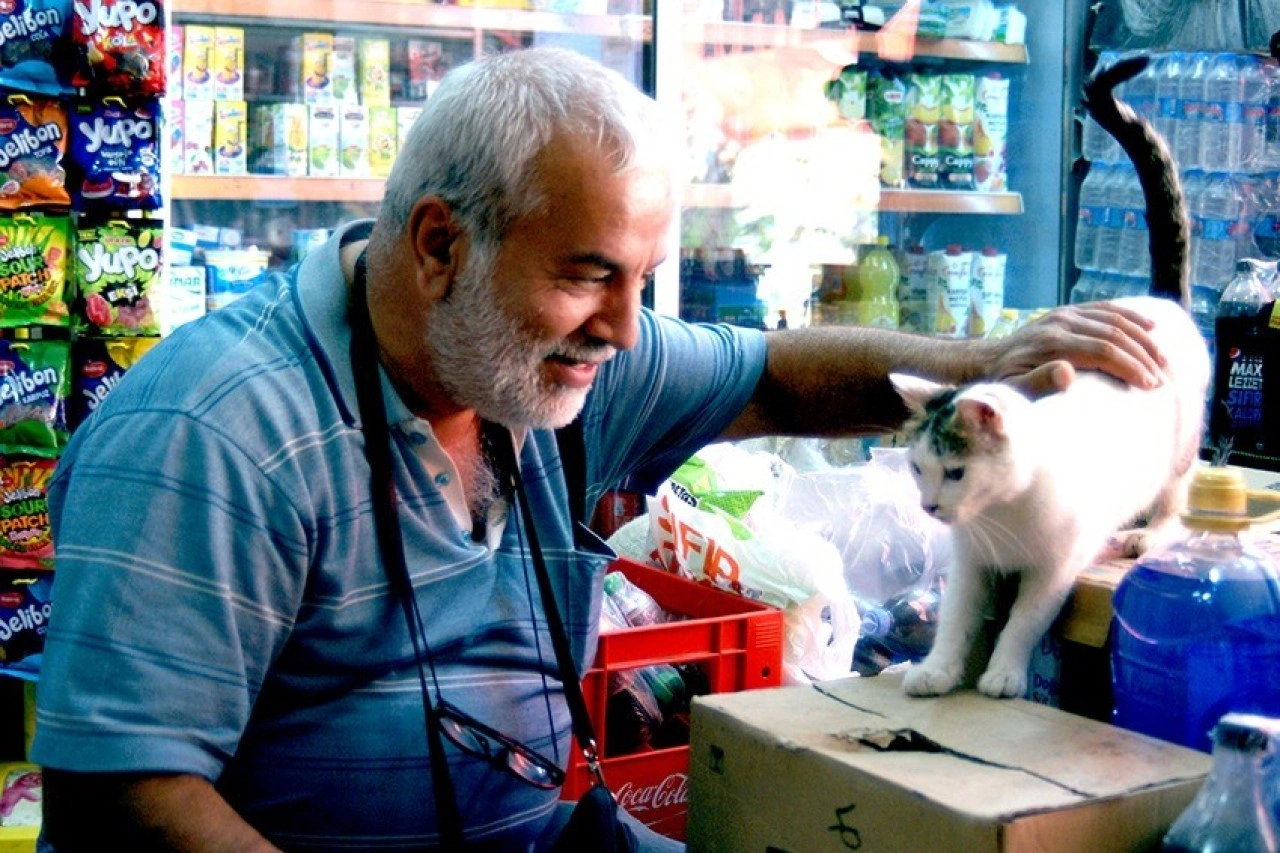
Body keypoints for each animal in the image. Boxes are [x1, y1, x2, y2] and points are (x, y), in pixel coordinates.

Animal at [890, 295, 1208, 696]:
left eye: (955, 473)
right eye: (917, 468)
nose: (928, 506)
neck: (1000, 510)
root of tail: (1161, 302)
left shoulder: (1054, 571)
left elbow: (1024, 621)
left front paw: (1004, 673)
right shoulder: (970, 563)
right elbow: (956, 617)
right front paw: (938, 668)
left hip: (1181, 451)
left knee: (1174, 499)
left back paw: (1151, 533)